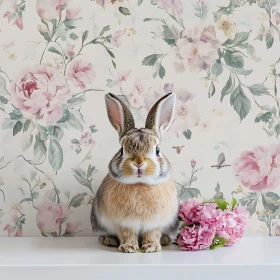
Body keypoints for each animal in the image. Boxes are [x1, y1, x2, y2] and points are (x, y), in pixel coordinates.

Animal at [92, 92, 179, 254]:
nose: (138, 162)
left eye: (157, 150)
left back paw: (164, 240)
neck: (140, 184)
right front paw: (129, 247)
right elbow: (126, 234)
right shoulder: (123, 223)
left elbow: (152, 234)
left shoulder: (154, 224)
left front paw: (151, 247)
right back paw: (108, 240)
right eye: (121, 150)